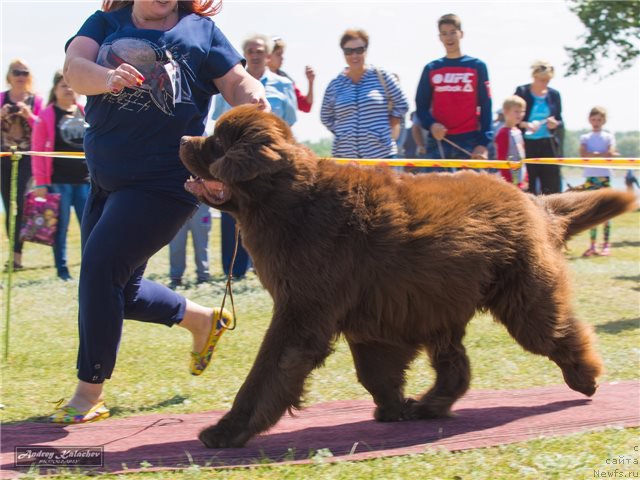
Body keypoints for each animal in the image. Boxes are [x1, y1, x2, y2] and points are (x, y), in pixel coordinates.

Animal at [179, 105, 636, 450]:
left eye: (216, 142)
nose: (183, 139)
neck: (287, 200)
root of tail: (534, 202)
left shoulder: (302, 312)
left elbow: (267, 372)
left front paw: (225, 432)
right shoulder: (370, 319)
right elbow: (374, 371)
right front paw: (394, 409)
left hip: (522, 298)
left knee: (559, 332)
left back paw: (586, 379)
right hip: (441, 303)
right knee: (457, 365)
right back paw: (429, 406)